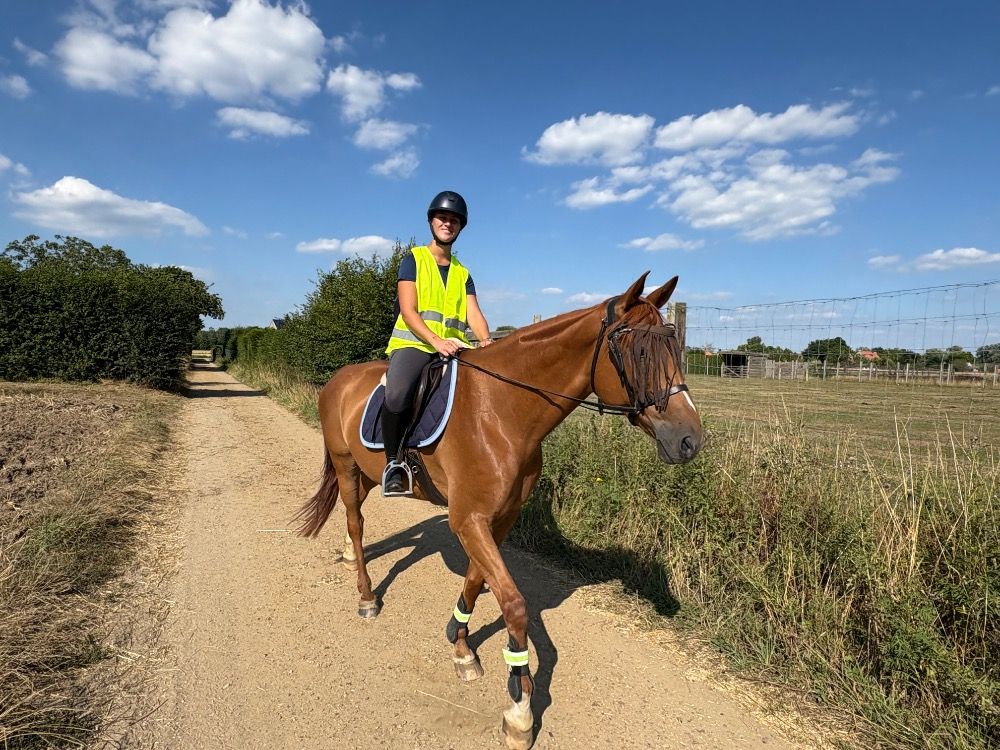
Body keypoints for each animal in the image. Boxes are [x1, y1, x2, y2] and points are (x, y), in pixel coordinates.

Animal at [296, 272, 703, 749]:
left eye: (674, 347)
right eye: (638, 351)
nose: (690, 440)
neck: (501, 410)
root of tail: (339, 379)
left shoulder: (498, 519)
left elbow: (476, 581)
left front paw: (460, 645)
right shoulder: (468, 519)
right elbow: (514, 604)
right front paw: (519, 708)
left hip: (363, 470)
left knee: (354, 516)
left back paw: (346, 555)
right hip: (345, 464)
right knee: (356, 523)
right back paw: (365, 595)